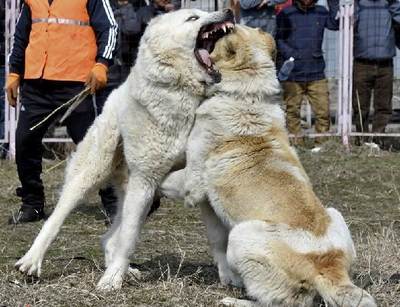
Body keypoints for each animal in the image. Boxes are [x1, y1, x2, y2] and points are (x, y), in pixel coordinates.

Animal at [14, 7, 234, 292]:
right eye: (193, 18)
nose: (228, 11)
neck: (183, 96)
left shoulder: (198, 183)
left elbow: (218, 238)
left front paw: (228, 277)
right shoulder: (144, 180)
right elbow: (128, 239)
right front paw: (110, 282)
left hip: (146, 197)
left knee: (109, 239)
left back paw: (124, 271)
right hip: (92, 176)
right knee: (57, 220)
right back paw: (32, 261)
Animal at [161, 26, 376, 307]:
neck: (247, 96)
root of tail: (327, 266)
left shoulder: (193, 183)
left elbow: (166, 181)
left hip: (241, 235)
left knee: (279, 302)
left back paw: (234, 301)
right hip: (335, 213)